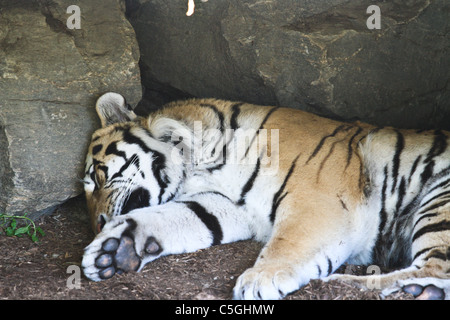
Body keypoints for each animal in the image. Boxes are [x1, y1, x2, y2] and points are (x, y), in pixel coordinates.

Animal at [81, 92, 450, 300]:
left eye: (97, 177)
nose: (98, 224)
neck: (196, 166)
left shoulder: (319, 197)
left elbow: (289, 242)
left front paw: (261, 278)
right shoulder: (222, 205)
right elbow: (172, 217)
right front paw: (114, 250)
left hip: (438, 200)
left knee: (435, 266)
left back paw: (356, 286)